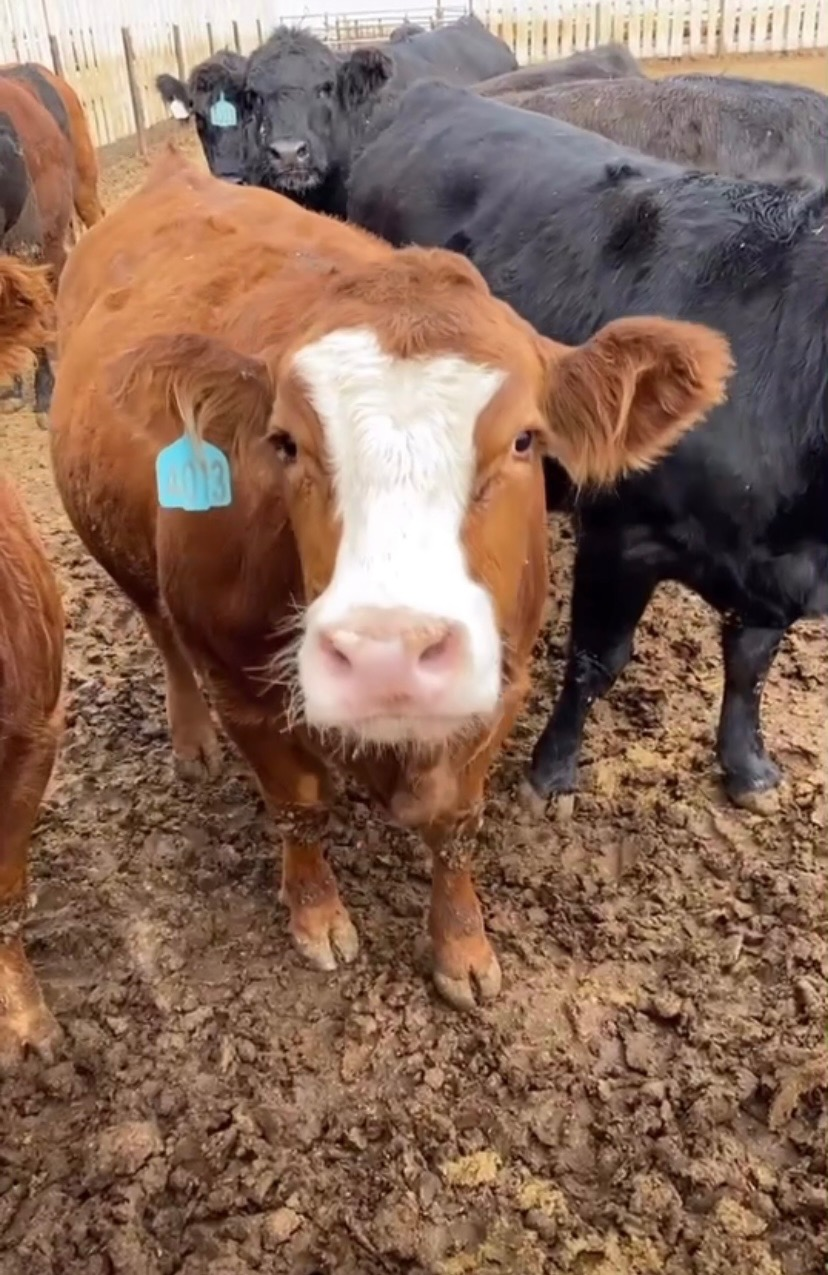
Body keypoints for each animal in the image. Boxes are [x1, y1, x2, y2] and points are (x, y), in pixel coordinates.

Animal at [50, 149, 728, 1008]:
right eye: (285, 442)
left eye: (524, 440)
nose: (387, 653)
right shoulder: (240, 683)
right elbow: (299, 803)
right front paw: (316, 912)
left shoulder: (499, 683)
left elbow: (455, 823)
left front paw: (462, 946)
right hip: (118, 551)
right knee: (161, 631)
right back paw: (192, 740)